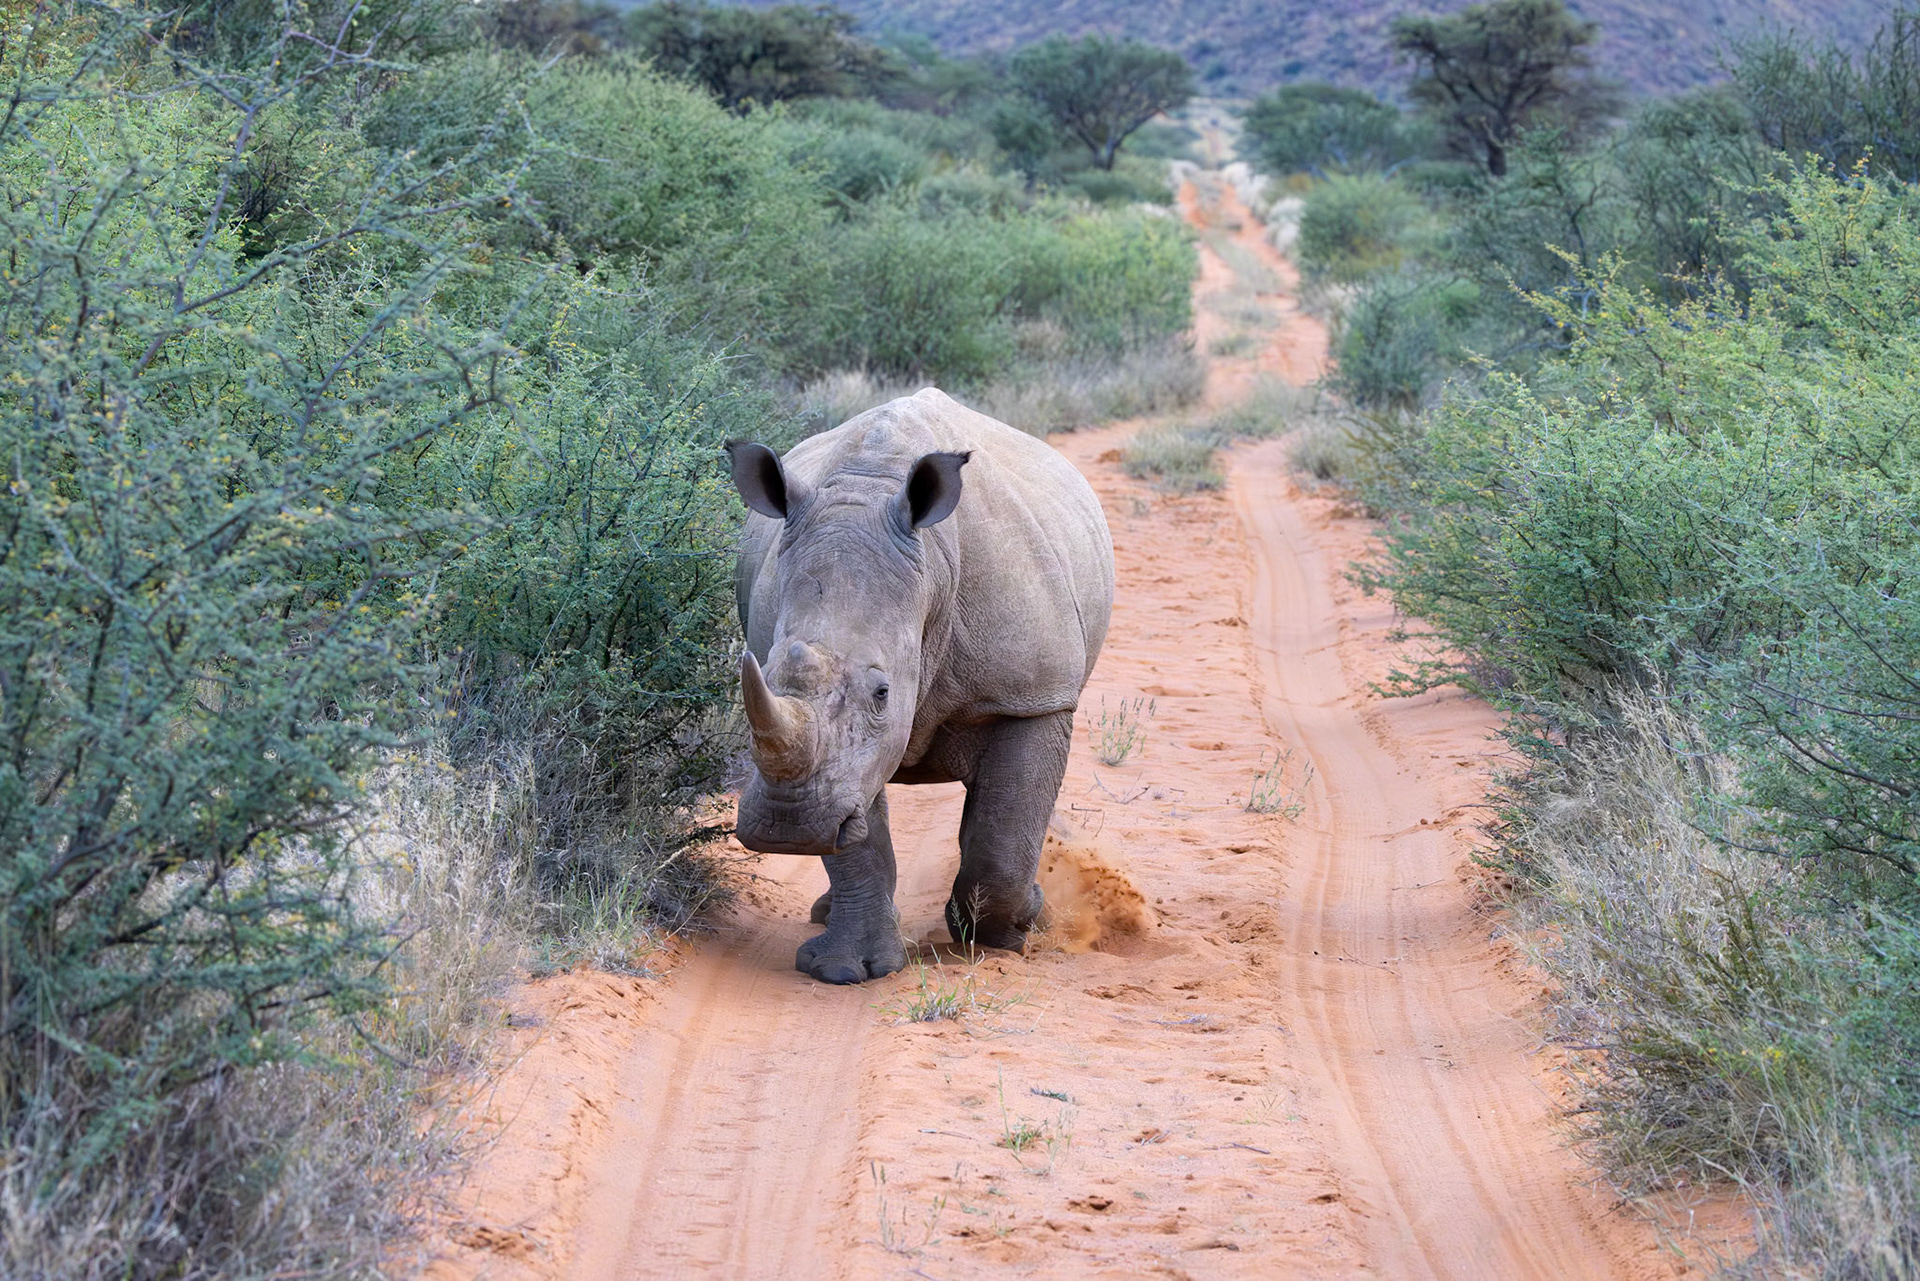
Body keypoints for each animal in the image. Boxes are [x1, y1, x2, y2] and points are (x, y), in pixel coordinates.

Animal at [725, 388, 1114, 984]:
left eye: (883, 693)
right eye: (761, 676)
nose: (787, 826)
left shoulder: (1033, 696)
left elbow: (1003, 840)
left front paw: (1017, 927)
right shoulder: (841, 767)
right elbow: (858, 832)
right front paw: (845, 969)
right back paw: (824, 913)